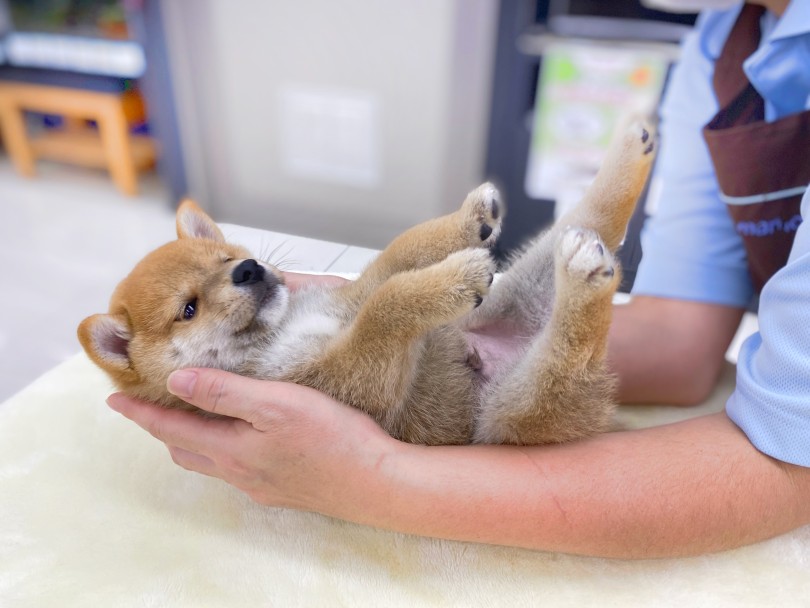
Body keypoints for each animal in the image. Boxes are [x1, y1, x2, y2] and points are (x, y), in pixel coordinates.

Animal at [79, 119, 652, 444]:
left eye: (229, 257)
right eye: (188, 309)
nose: (250, 269)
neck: (286, 330)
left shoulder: (351, 297)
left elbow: (400, 255)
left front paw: (468, 221)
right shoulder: (351, 380)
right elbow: (388, 303)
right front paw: (456, 276)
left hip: (526, 291)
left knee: (593, 218)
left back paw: (630, 151)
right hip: (518, 410)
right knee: (569, 350)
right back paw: (586, 275)